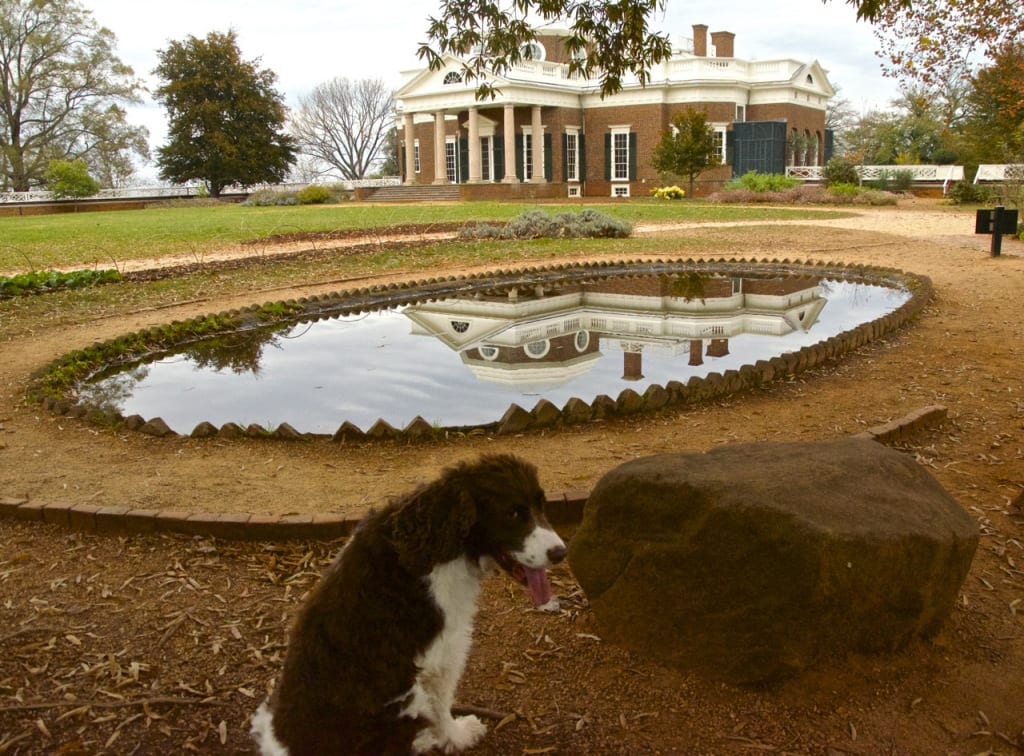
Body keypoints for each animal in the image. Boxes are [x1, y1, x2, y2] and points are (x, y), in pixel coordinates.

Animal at [250, 450, 565, 749]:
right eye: (513, 514)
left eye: (541, 506)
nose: (561, 553)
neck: (439, 539)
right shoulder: (441, 653)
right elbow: (441, 704)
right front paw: (458, 736)